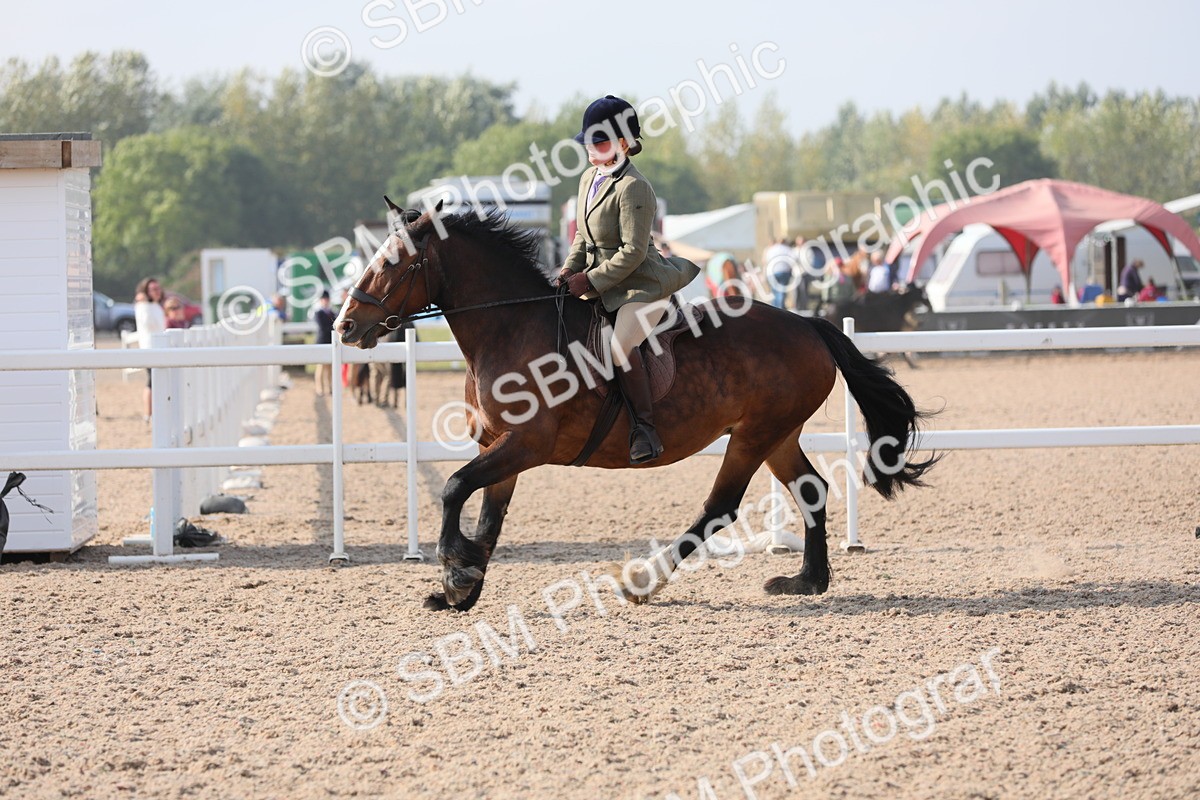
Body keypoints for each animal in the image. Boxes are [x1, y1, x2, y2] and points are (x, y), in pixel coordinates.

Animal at [336, 200, 936, 612]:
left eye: (393, 262)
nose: (345, 326)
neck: (510, 326)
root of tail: (808, 324)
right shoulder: (498, 446)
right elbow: (486, 519)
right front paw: (462, 589)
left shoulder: (526, 444)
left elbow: (454, 488)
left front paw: (455, 576)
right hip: (776, 434)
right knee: (811, 489)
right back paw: (806, 581)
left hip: (752, 435)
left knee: (720, 507)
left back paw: (645, 580)